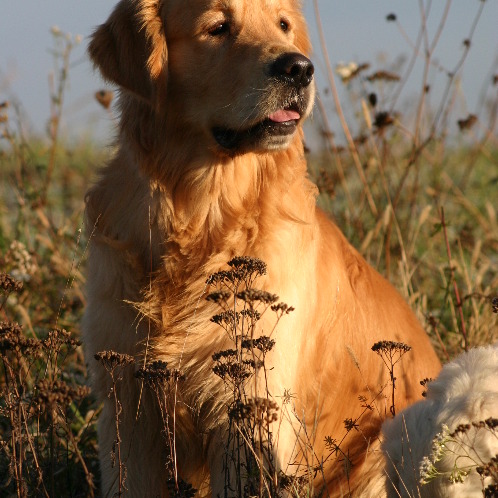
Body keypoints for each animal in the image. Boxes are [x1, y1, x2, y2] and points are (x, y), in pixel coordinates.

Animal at [83, 0, 442, 498]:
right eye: (218, 27)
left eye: (283, 25)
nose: (300, 69)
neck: (200, 214)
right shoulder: (127, 402)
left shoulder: (249, 407)